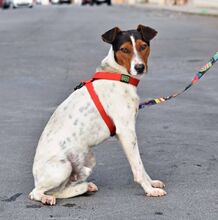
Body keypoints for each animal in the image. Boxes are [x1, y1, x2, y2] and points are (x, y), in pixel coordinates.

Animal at [28, 24, 165, 205]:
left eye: (143, 46)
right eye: (124, 49)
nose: (139, 67)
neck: (118, 75)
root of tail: (36, 176)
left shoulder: (124, 135)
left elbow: (141, 166)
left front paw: (151, 182)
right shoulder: (126, 132)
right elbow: (138, 166)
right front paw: (149, 189)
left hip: (88, 160)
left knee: (61, 190)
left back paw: (85, 187)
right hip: (62, 167)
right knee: (36, 192)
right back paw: (45, 197)